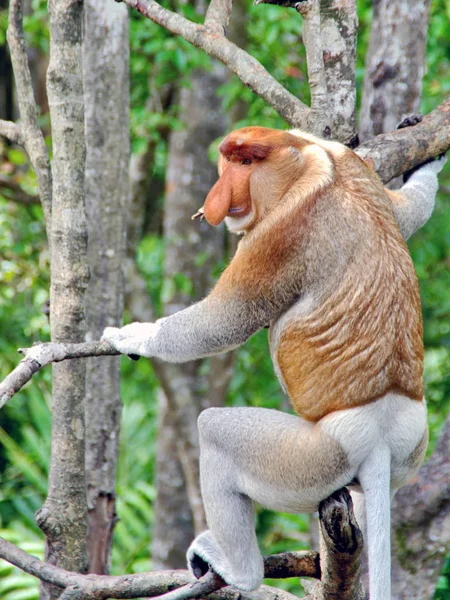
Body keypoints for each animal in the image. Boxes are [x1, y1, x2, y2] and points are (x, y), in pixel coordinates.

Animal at [103, 126, 446, 600]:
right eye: (228, 160)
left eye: (247, 164)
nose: (219, 197)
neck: (305, 160)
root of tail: (382, 429)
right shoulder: (351, 164)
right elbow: (404, 213)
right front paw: (426, 167)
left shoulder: (281, 232)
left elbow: (226, 320)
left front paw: (132, 334)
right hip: (409, 451)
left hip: (319, 454)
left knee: (215, 431)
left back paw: (239, 570)